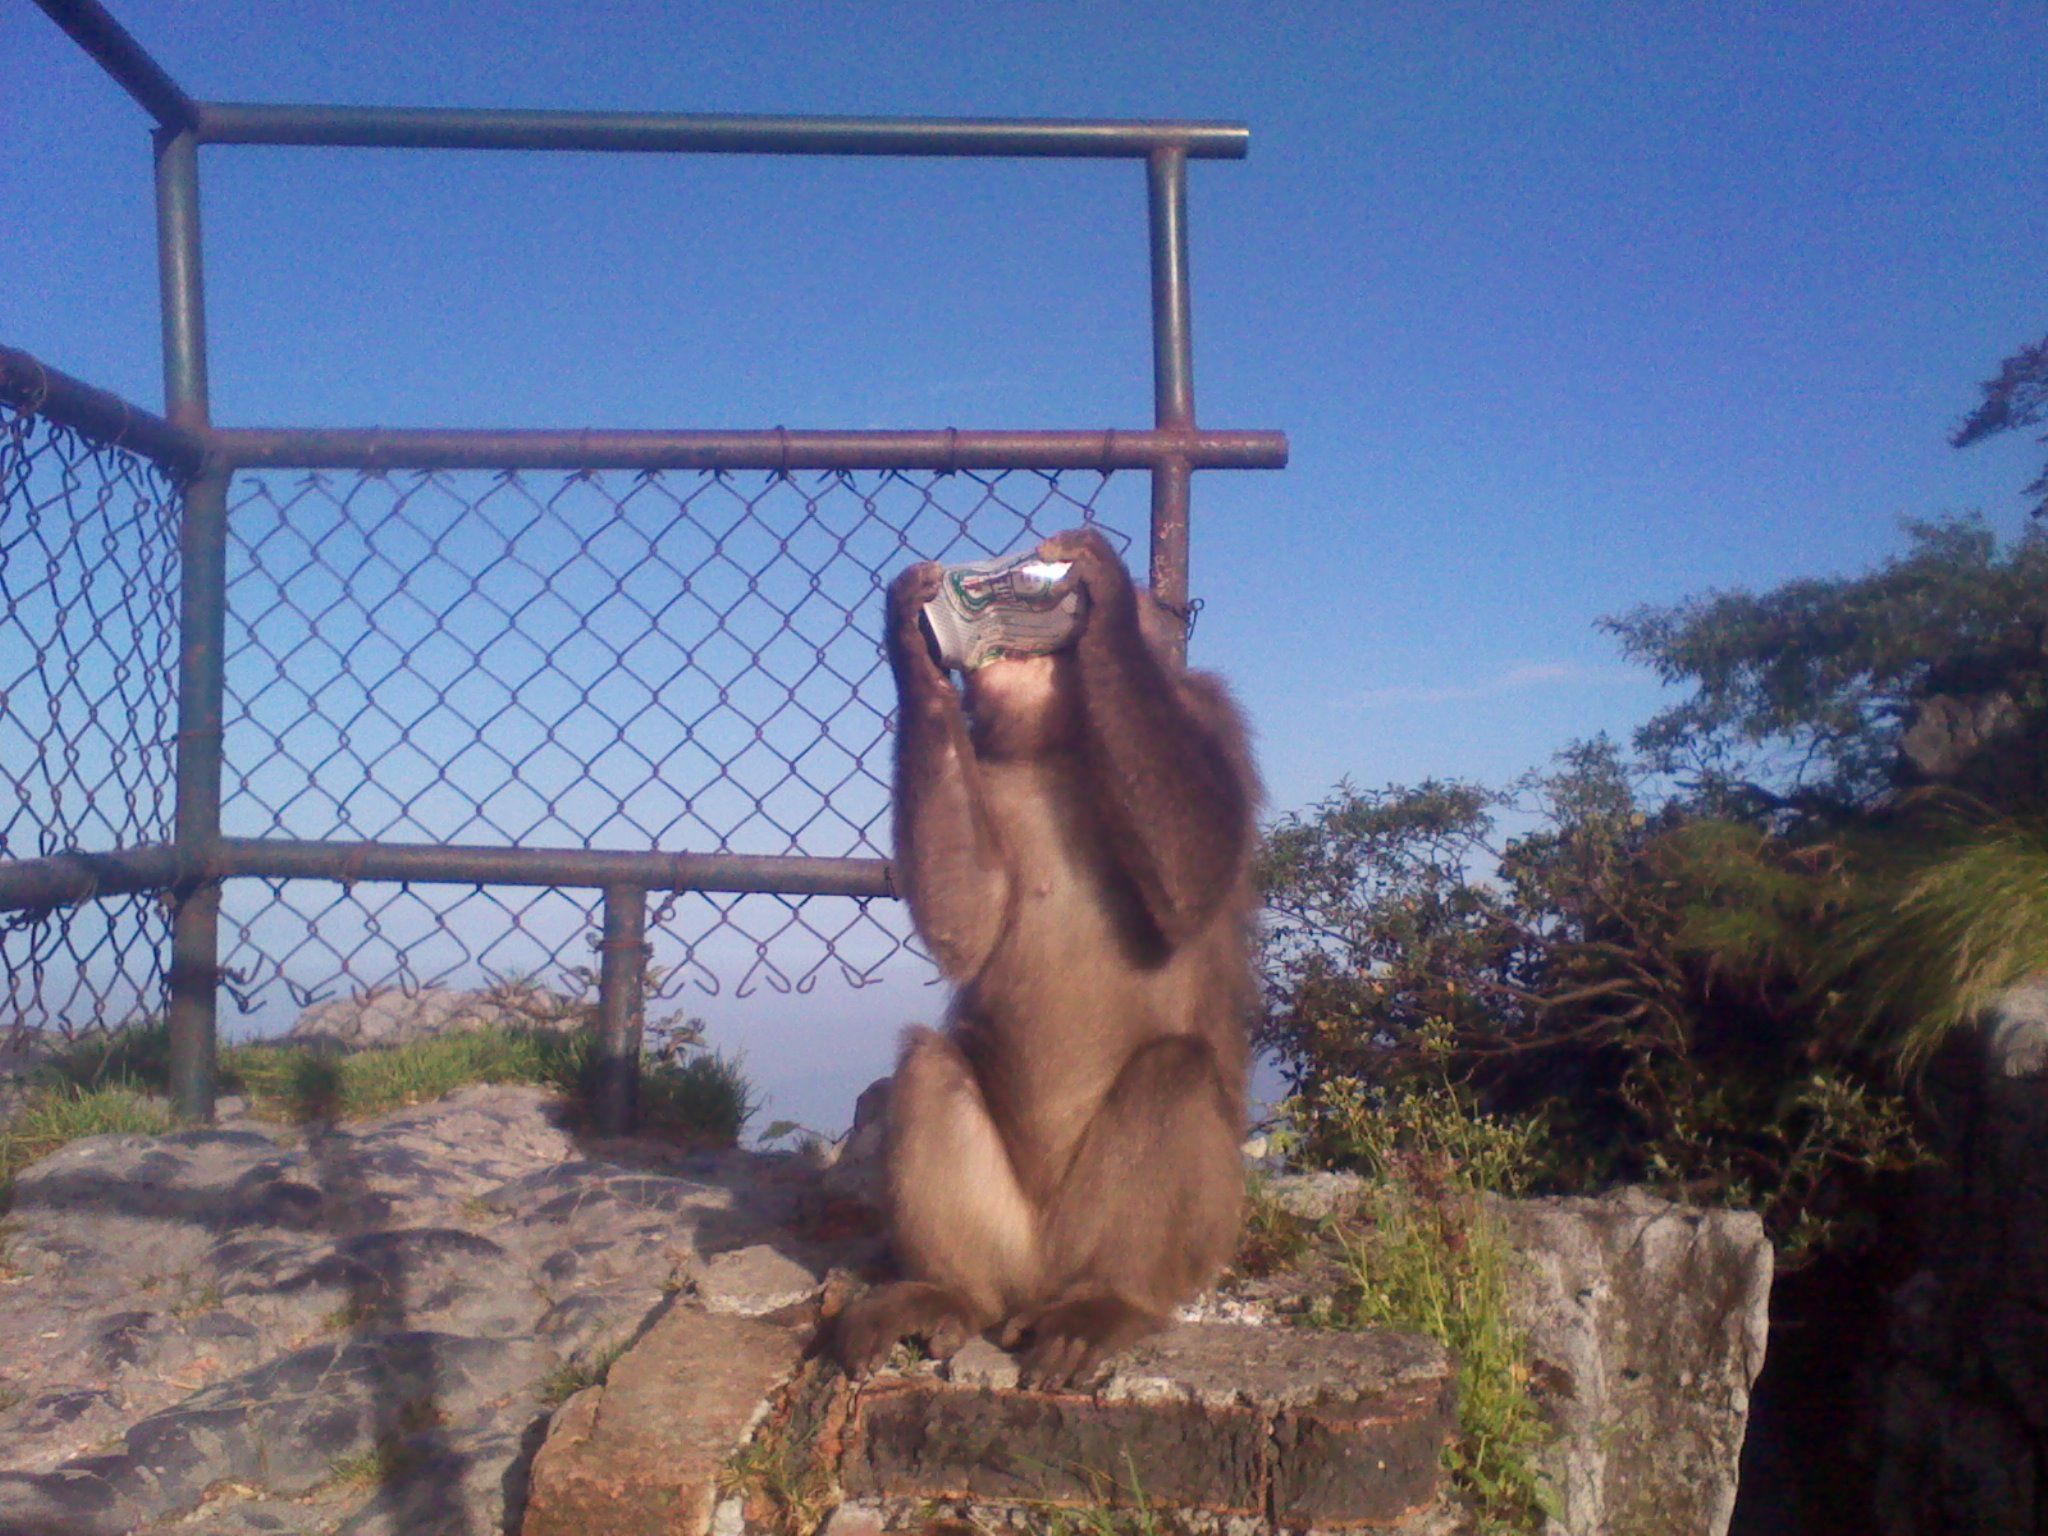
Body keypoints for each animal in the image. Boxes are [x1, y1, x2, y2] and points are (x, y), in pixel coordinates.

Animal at [835, 524, 1261, 1392]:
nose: (1002, 649)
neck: (1055, 745)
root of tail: (1037, 1281)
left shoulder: (1208, 717)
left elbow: (1194, 883)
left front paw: (1101, 604)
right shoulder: (983, 761)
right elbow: (966, 920)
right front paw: (916, 645)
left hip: (1170, 1238)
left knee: (1174, 1071)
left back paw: (1107, 1304)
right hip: (1011, 1242)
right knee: (928, 1065)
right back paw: (945, 1292)